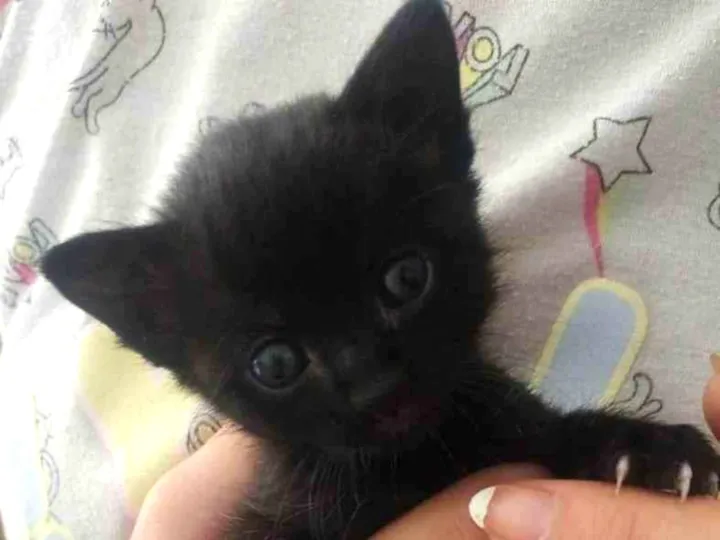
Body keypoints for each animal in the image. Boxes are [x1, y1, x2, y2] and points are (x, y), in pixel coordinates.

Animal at [42, 0, 720, 538]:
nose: (373, 384)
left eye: (405, 279)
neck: (407, 463)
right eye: (275, 363)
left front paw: (643, 451)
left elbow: (553, 434)